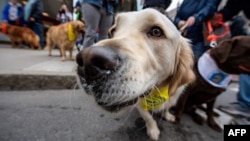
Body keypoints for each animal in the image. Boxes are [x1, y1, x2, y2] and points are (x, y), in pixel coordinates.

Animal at [76, 8, 195, 140]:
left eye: (156, 31)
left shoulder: (173, 96)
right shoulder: (140, 104)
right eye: (112, 31)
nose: (87, 62)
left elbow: (166, 107)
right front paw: (153, 130)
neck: (158, 90)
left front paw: (167, 115)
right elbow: (148, 118)